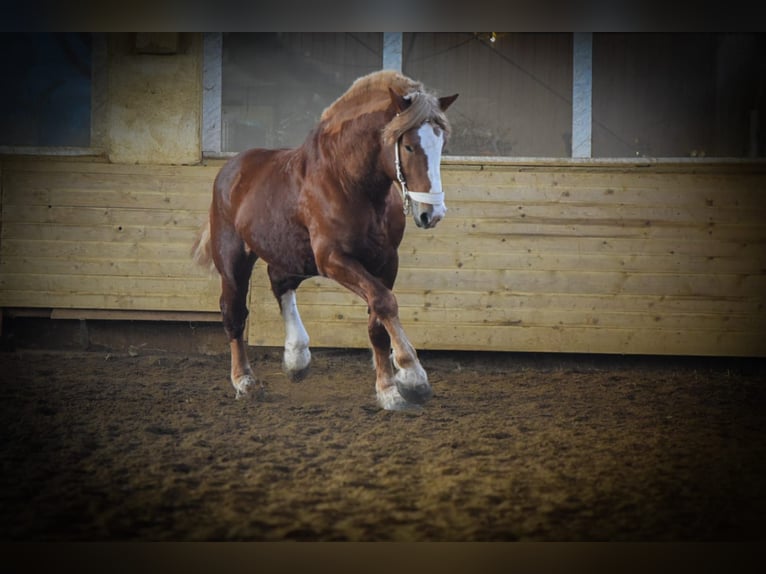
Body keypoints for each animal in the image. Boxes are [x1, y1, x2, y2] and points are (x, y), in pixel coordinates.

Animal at [193, 70, 458, 411]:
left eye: (442, 143)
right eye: (410, 146)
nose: (432, 213)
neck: (349, 182)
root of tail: (230, 170)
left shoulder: (387, 261)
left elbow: (378, 319)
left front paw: (388, 389)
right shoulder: (333, 259)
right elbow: (384, 302)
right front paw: (413, 378)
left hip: (293, 255)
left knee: (279, 281)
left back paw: (297, 357)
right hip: (234, 260)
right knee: (234, 312)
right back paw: (245, 381)